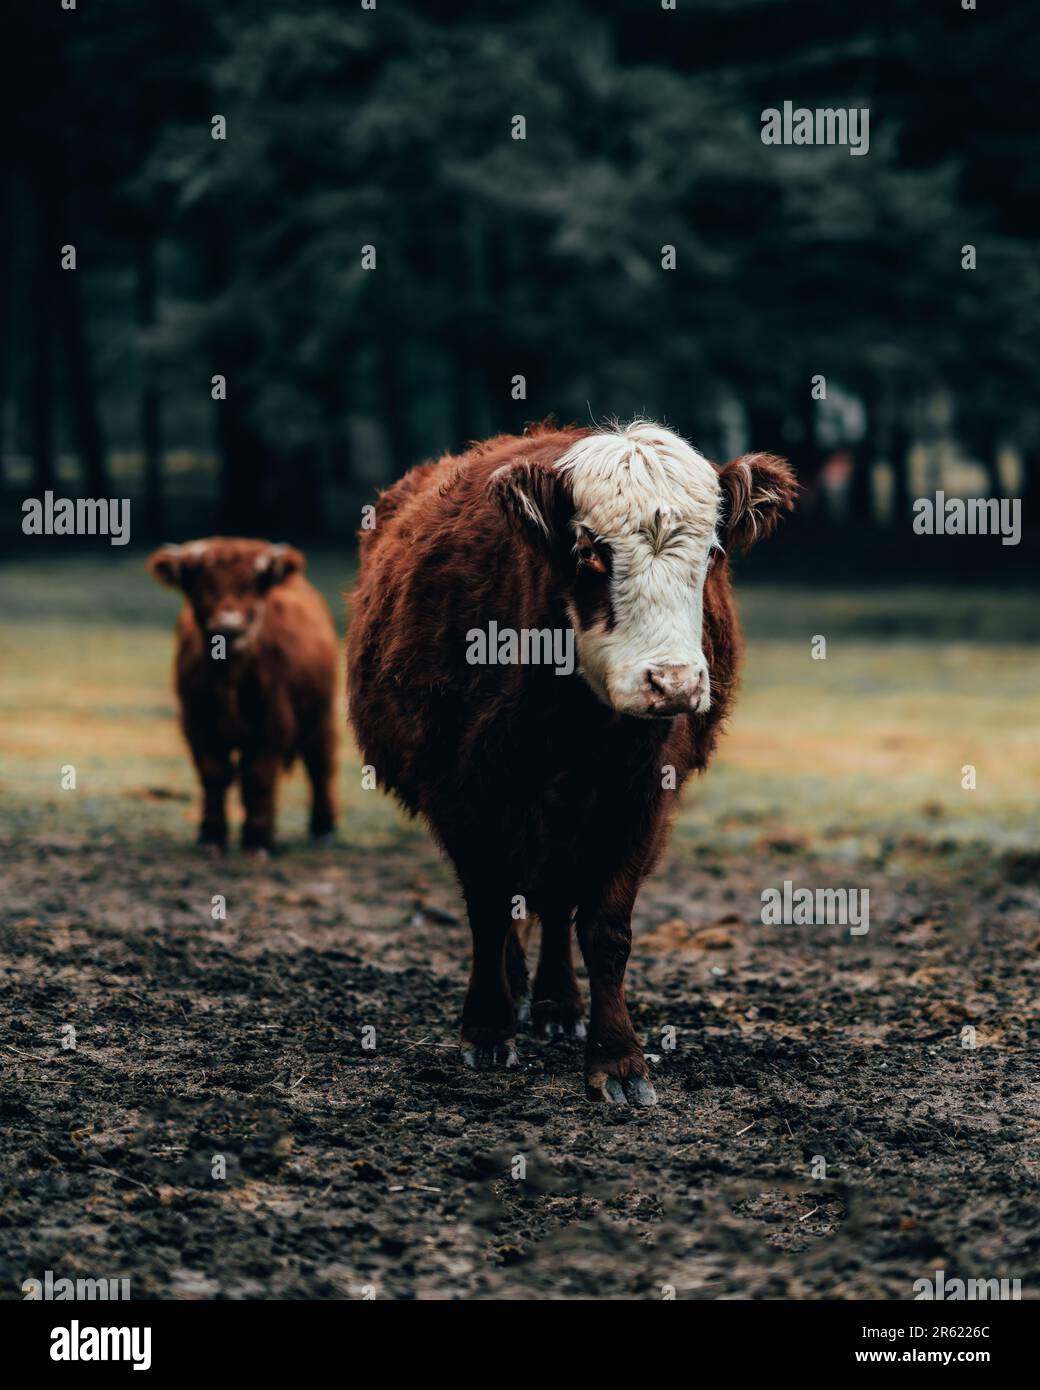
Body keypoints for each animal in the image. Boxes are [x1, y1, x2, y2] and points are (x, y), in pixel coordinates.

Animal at [148, 537, 338, 853]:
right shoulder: (196, 723)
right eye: (202, 582)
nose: (229, 626)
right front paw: (211, 836)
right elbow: (213, 775)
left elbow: (258, 778)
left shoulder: (272, 723)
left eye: (252, 583)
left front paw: (257, 841)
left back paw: (324, 828)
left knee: (320, 766)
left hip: (322, 716)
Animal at [347, 420, 795, 1103]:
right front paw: (487, 1028)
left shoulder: (640, 796)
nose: (673, 683)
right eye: (589, 553)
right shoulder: (464, 789)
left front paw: (617, 1059)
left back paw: (558, 1003)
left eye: (714, 552)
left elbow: (605, 929)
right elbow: (489, 909)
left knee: (556, 901)